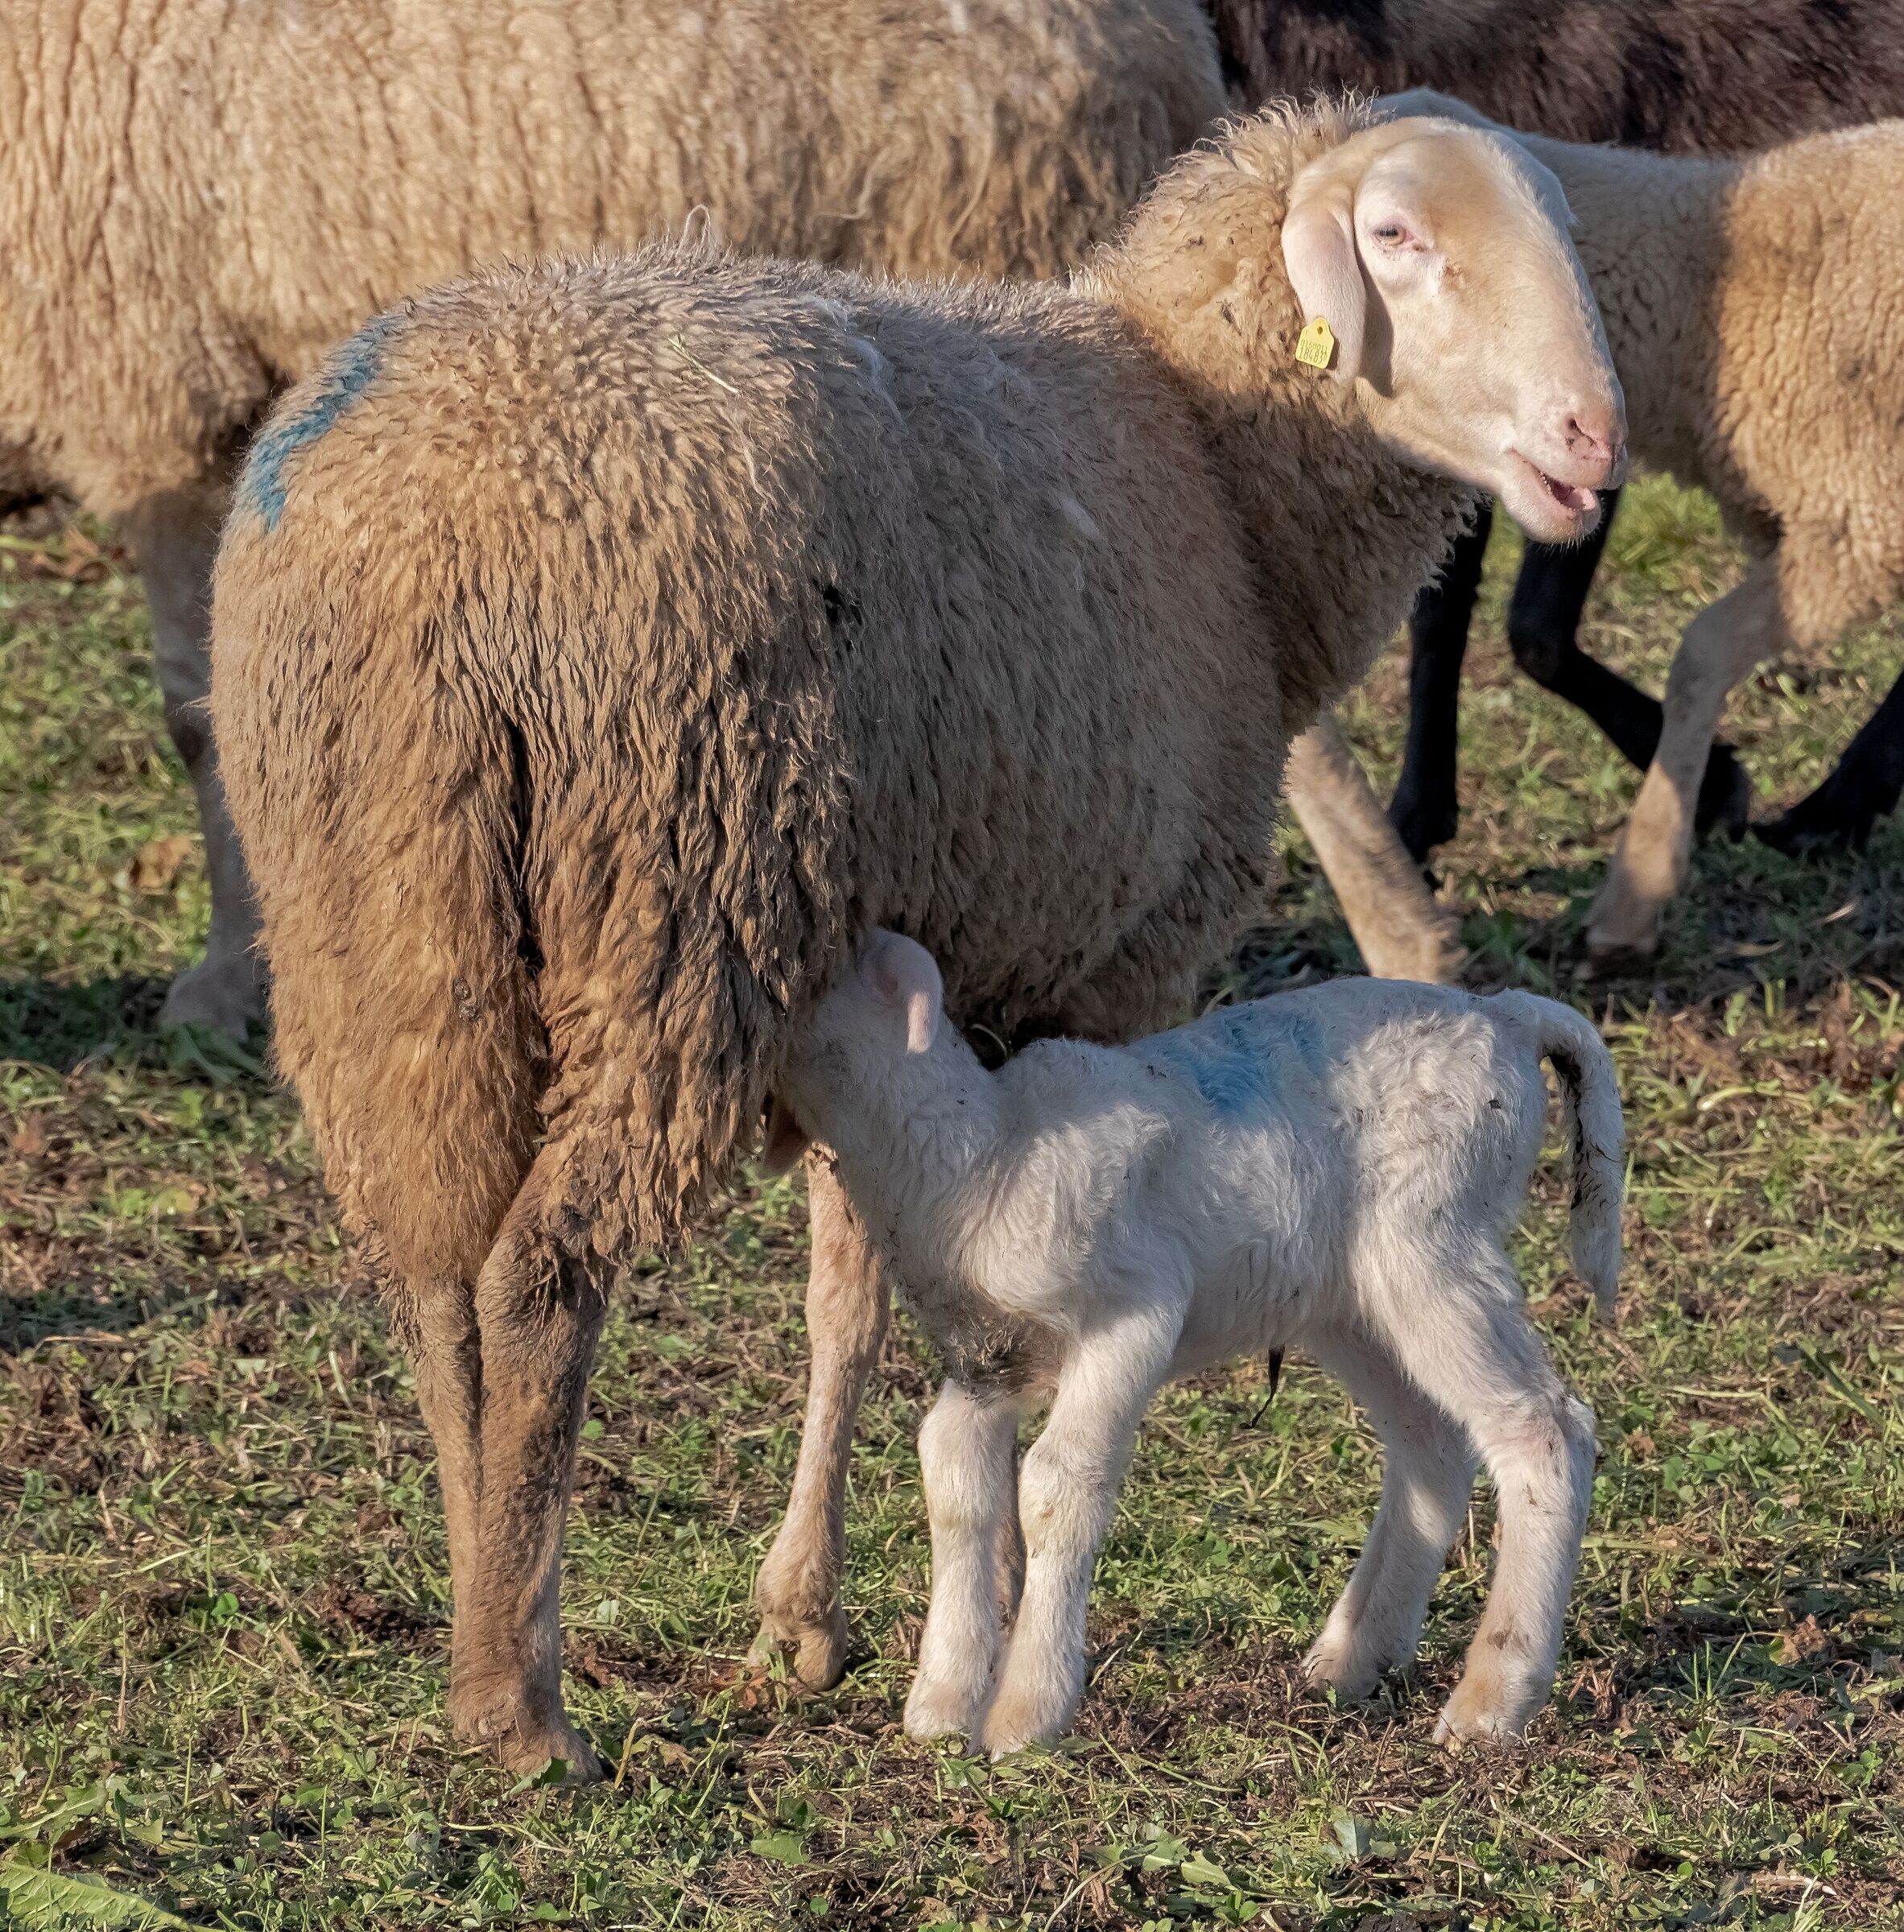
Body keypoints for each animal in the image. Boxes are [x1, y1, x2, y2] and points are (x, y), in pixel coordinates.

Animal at [769, 930, 1624, 1754]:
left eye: (816, 971)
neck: (984, 1150)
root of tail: (1507, 1013)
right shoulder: (993, 1361)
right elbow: (953, 1481)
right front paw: (942, 1703)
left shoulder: (1136, 1312)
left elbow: (1055, 1484)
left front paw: (1023, 1717)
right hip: (1347, 1300)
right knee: (1431, 1442)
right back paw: (1351, 1661)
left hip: (1432, 1245)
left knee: (1545, 1430)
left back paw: (1490, 1704)